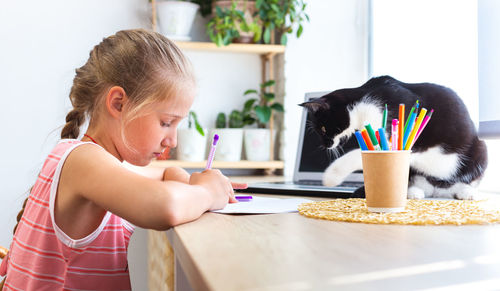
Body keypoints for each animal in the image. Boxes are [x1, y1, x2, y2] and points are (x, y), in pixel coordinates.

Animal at [300, 76, 488, 201]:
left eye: (323, 129)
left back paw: (467, 193)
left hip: (481, 149)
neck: (361, 102)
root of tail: (437, 192)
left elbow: (357, 154)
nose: (326, 145)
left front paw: (332, 175)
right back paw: (413, 192)